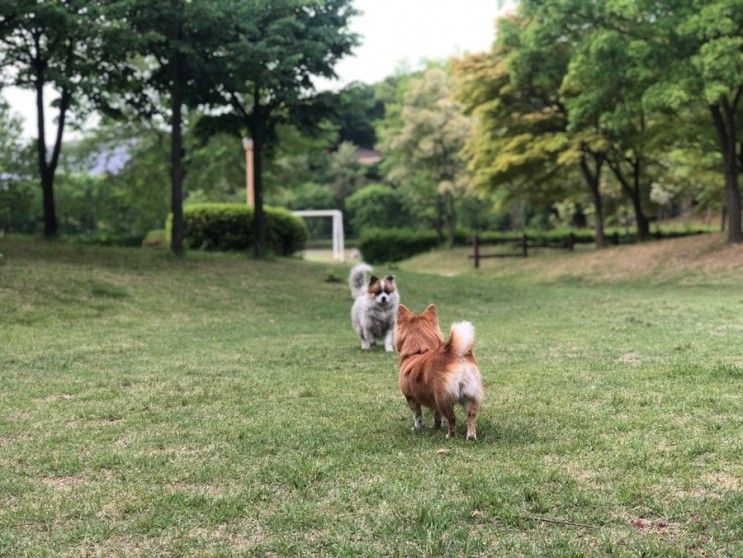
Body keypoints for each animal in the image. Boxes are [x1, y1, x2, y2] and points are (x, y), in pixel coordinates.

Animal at [398, 306, 486, 442]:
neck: (419, 351)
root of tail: (456, 355)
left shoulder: (411, 398)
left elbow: (418, 416)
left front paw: (418, 428)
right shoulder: (434, 402)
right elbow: (437, 416)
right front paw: (436, 426)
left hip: (444, 400)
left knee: (452, 419)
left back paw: (450, 436)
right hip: (470, 396)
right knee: (471, 416)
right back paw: (471, 436)